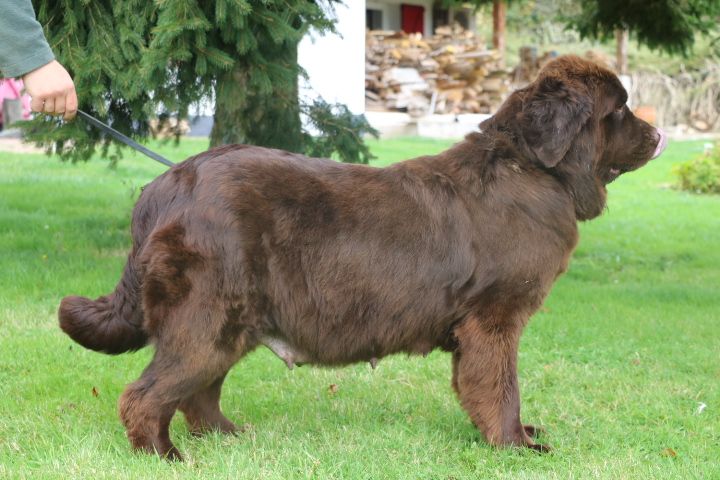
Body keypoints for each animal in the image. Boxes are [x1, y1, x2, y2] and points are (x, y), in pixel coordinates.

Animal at [59, 55, 667, 460]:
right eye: (620, 109)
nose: (660, 134)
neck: (531, 169)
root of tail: (166, 185)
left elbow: (481, 386)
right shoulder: (493, 320)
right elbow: (500, 386)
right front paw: (515, 445)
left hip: (228, 320)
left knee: (198, 391)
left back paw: (229, 437)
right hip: (207, 316)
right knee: (148, 394)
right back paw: (163, 456)